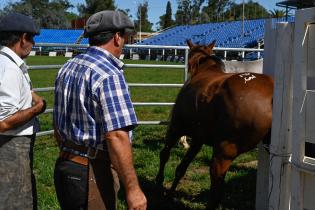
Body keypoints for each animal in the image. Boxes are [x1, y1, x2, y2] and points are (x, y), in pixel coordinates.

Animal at [157, 39, 276, 208]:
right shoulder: (198, 139)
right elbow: (181, 168)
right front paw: (169, 194)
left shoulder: (177, 127)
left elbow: (165, 154)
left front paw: (159, 184)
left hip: (224, 150)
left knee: (216, 186)